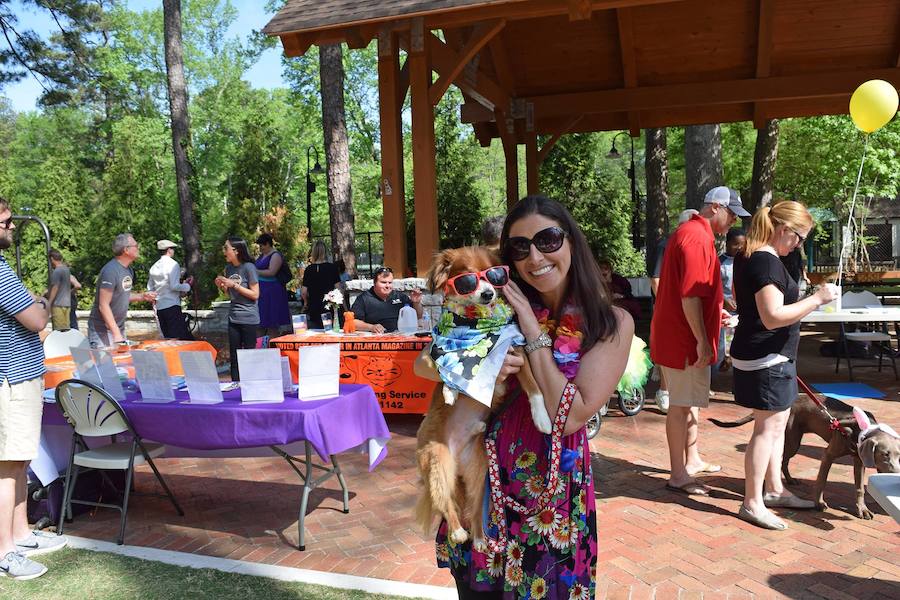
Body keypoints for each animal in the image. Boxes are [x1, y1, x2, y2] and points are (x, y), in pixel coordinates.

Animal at [414, 246, 548, 552]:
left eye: (494, 274)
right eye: (467, 279)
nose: (488, 294)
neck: (479, 327)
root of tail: (456, 459)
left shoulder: (515, 351)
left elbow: (534, 386)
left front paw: (543, 418)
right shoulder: (443, 347)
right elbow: (446, 368)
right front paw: (450, 390)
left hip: (480, 471)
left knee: (474, 508)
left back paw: (478, 538)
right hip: (438, 465)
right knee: (447, 504)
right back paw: (457, 532)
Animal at [712, 396, 900, 516]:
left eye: (899, 455)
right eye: (884, 454)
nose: (895, 474)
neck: (860, 429)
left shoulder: (859, 461)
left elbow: (860, 488)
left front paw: (862, 509)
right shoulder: (828, 455)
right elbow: (821, 482)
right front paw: (819, 504)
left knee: (783, 462)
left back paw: (789, 480)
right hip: (792, 441)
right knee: (780, 461)